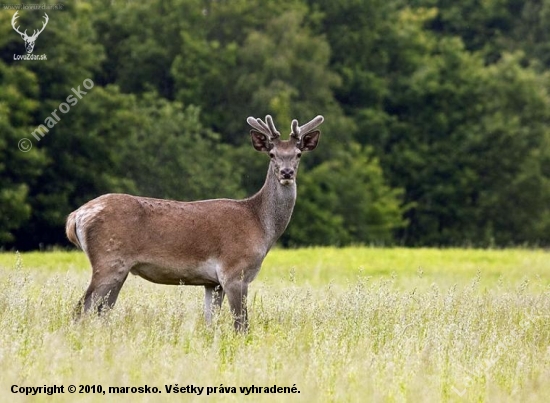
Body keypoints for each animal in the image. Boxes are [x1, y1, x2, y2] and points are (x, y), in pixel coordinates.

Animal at [65, 113, 326, 332]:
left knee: (101, 311)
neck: (260, 225)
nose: (286, 173)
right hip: (109, 259)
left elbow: (210, 323)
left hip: (119, 268)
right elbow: (241, 325)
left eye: (298, 154)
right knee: (81, 309)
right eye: (272, 154)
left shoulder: (213, 283)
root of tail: (76, 216)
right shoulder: (234, 271)